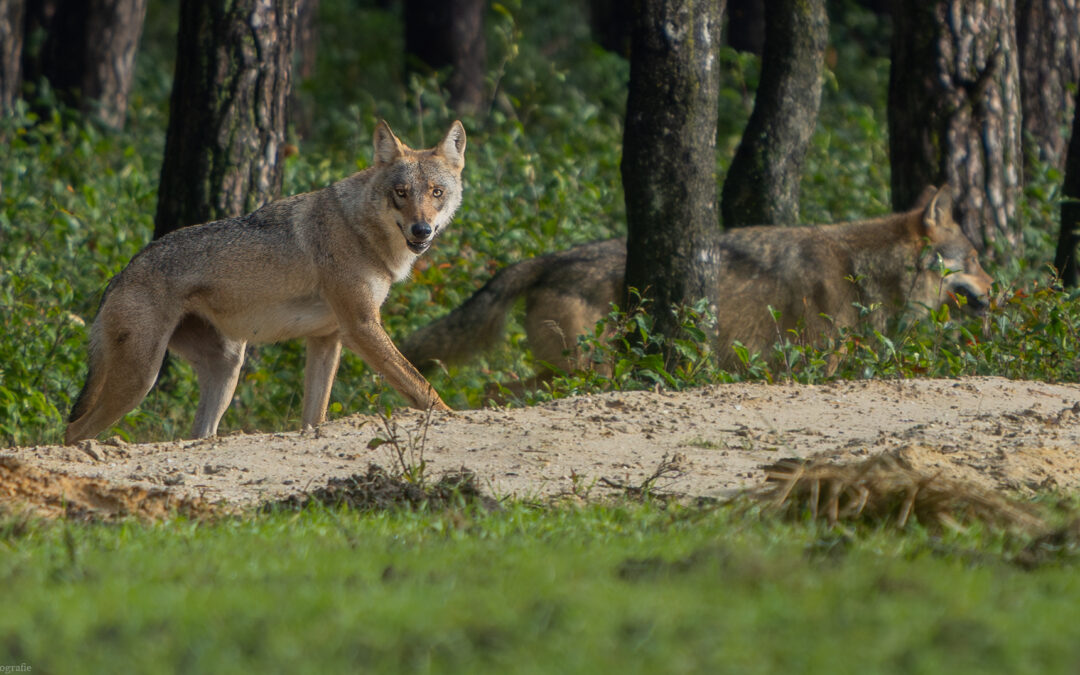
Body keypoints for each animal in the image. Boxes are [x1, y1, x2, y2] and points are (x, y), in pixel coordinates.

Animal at [66, 118, 464, 444]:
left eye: (436, 193)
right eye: (401, 193)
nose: (421, 229)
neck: (360, 229)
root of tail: (120, 275)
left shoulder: (327, 339)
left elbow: (314, 418)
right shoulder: (362, 327)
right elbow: (423, 387)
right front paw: (453, 417)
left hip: (227, 369)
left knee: (198, 434)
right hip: (141, 379)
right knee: (74, 430)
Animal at [403, 186, 993, 388]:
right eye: (977, 259)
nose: (1000, 287)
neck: (862, 266)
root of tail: (552, 257)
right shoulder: (817, 366)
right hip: (587, 372)